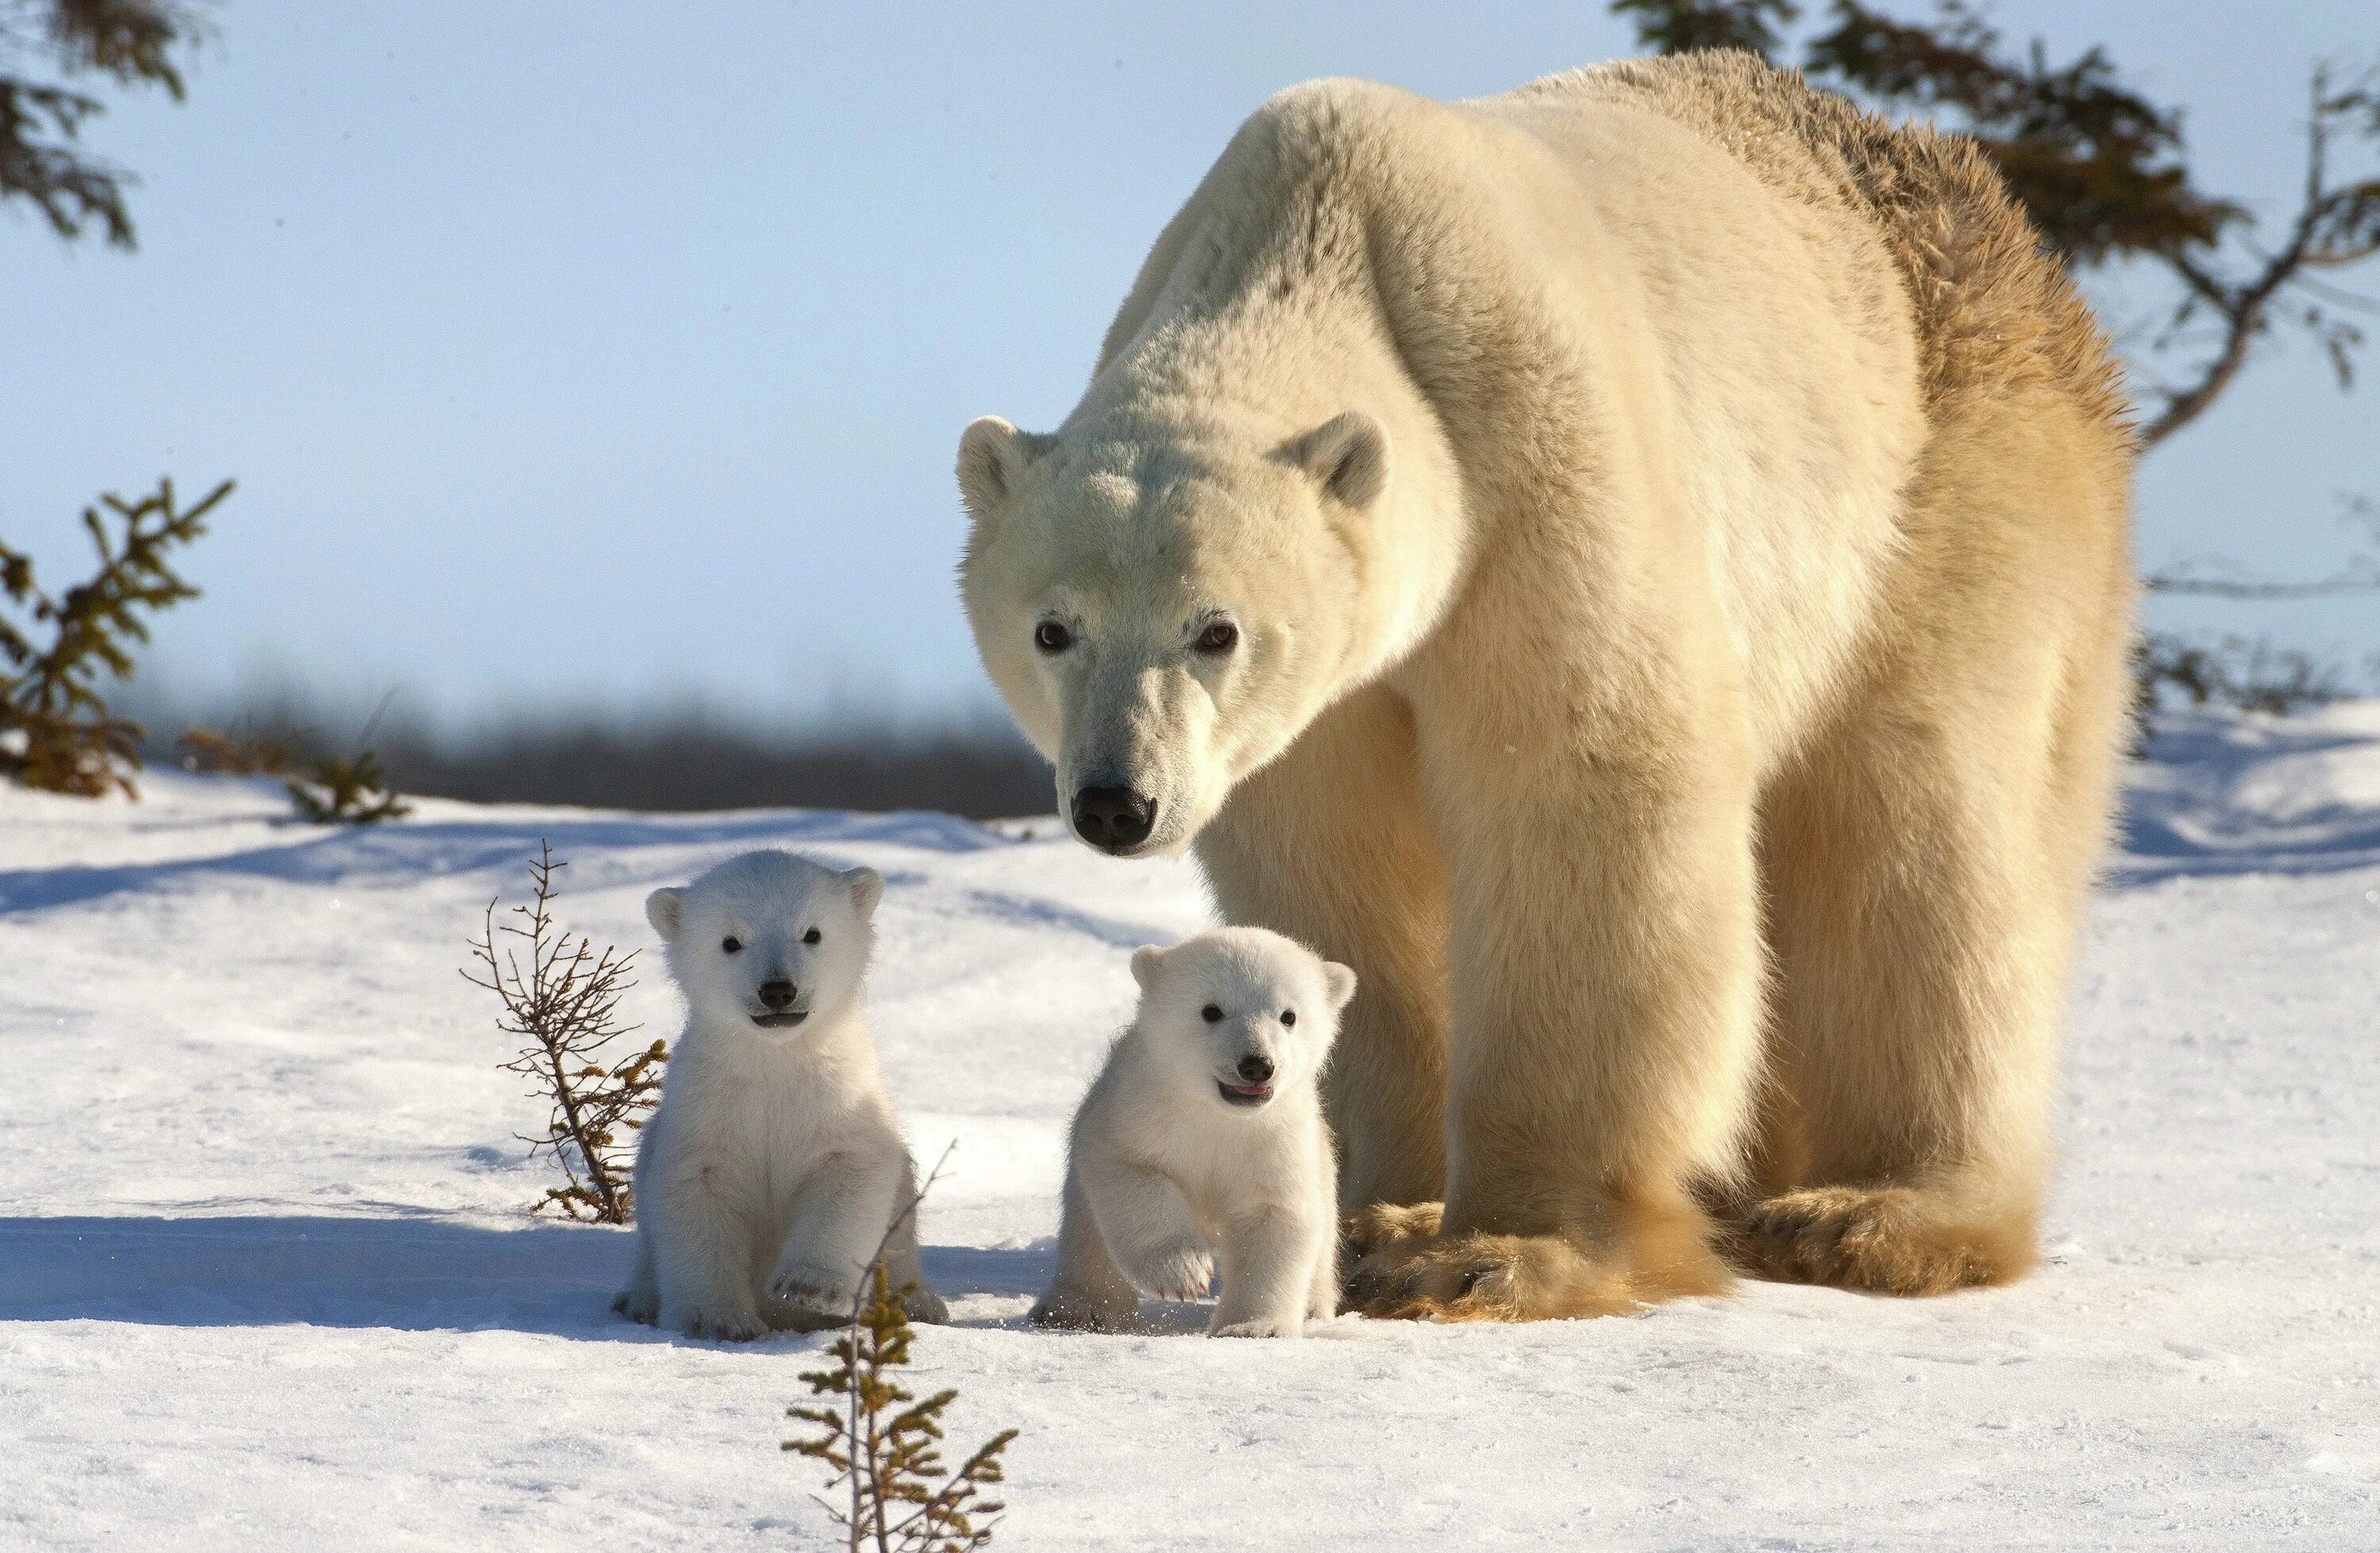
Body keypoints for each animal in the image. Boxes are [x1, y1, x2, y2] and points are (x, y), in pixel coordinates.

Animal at [957, 54, 2132, 1314]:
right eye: (1052, 629)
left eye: (1215, 630)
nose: (1116, 802)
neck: (1323, 235)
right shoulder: (1324, 706)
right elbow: (1337, 866)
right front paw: (1382, 1210)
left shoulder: (1535, 461)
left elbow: (1584, 793)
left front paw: (1499, 1250)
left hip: (1948, 493)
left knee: (1921, 833)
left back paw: (1872, 1214)